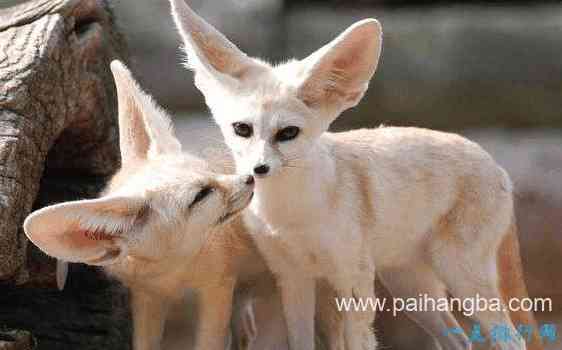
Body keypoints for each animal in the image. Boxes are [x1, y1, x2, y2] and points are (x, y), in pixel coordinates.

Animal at [170, 0, 540, 350]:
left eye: (288, 133)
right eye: (242, 129)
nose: (257, 170)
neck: (293, 216)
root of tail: (496, 165)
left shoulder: (353, 279)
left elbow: (358, 340)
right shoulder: (294, 279)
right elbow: (301, 340)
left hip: (458, 274)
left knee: (513, 339)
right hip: (411, 288)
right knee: (460, 340)